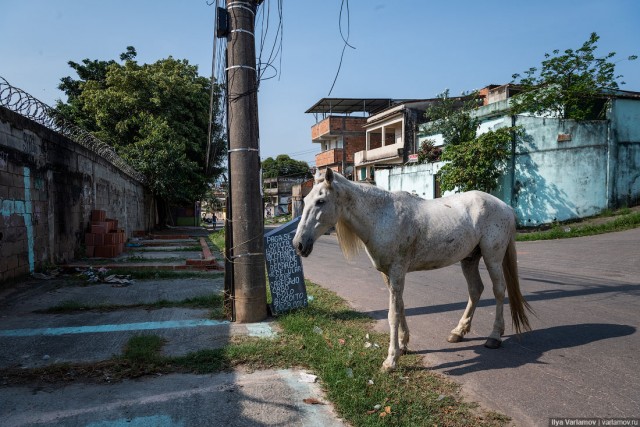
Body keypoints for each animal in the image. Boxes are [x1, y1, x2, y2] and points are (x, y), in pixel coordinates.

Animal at [292, 169, 532, 372]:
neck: (382, 216)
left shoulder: (397, 271)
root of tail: (505, 207)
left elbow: (393, 314)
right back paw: (458, 332)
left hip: (493, 257)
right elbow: (400, 307)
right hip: (469, 259)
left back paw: (494, 336)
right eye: (305, 201)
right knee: (475, 290)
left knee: (499, 291)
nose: (298, 244)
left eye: (321, 201)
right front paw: (404, 344)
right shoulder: (388, 275)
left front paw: (391, 360)